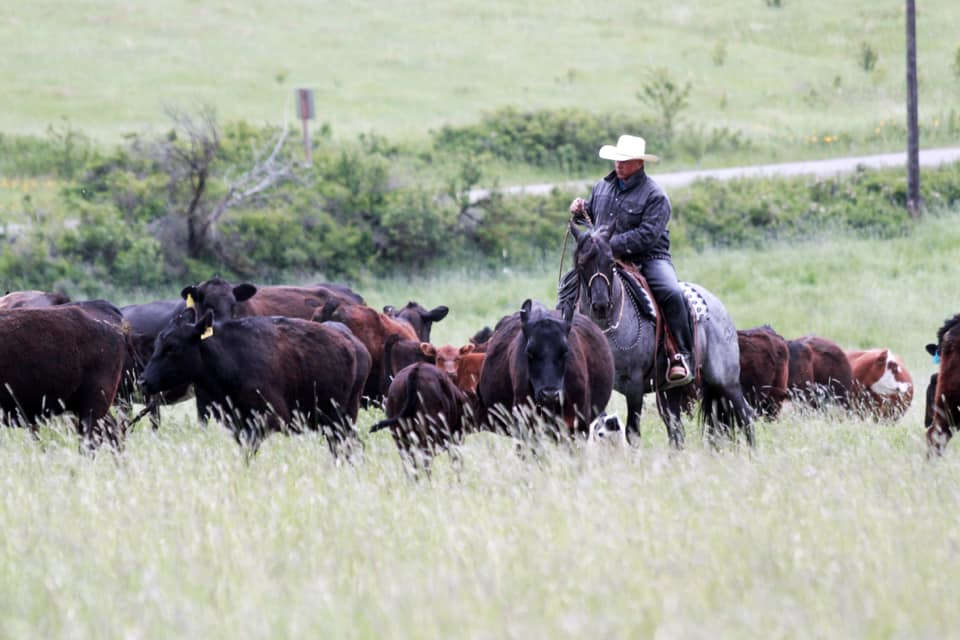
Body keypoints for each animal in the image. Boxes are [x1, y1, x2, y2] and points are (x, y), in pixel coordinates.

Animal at [142, 308, 368, 456]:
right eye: (157, 344)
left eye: (173, 347)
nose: (143, 381)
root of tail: (355, 345)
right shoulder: (238, 425)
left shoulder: (266, 420)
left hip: (342, 419)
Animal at [568, 222, 752, 448]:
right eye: (581, 263)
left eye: (610, 261)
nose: (601, 305)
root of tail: (718, 306)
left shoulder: (634, 384)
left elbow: (632, 432)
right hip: (669, 389)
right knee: (676, 431)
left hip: (726, 380)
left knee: (746, 416)